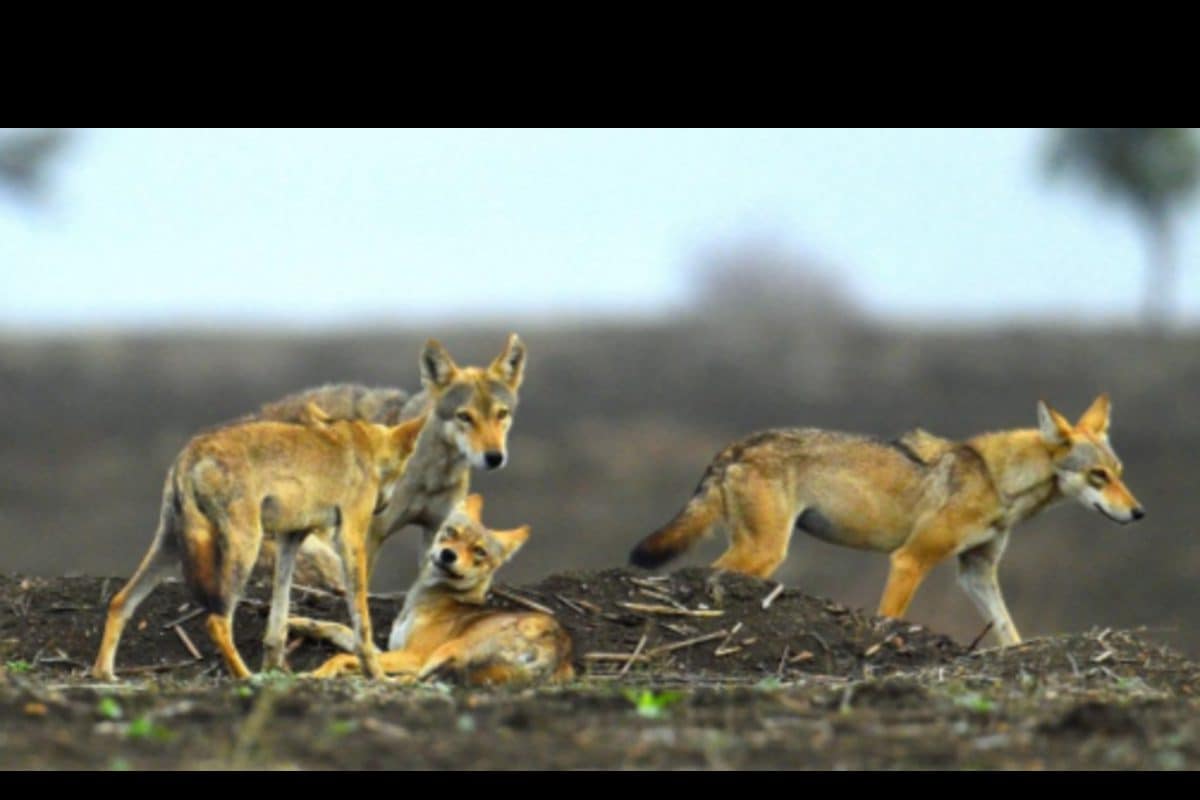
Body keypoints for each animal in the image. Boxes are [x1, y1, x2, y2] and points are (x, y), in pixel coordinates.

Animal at [629, 394, 1144, 646]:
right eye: (1097, 476)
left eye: (1119, 472)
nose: (1139, 513)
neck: (997, 481)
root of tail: (734, 446)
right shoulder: (909, 560)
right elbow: (890, 617)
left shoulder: (976, 573)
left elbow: (1008, 631)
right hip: (766, 552)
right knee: (707, 574)